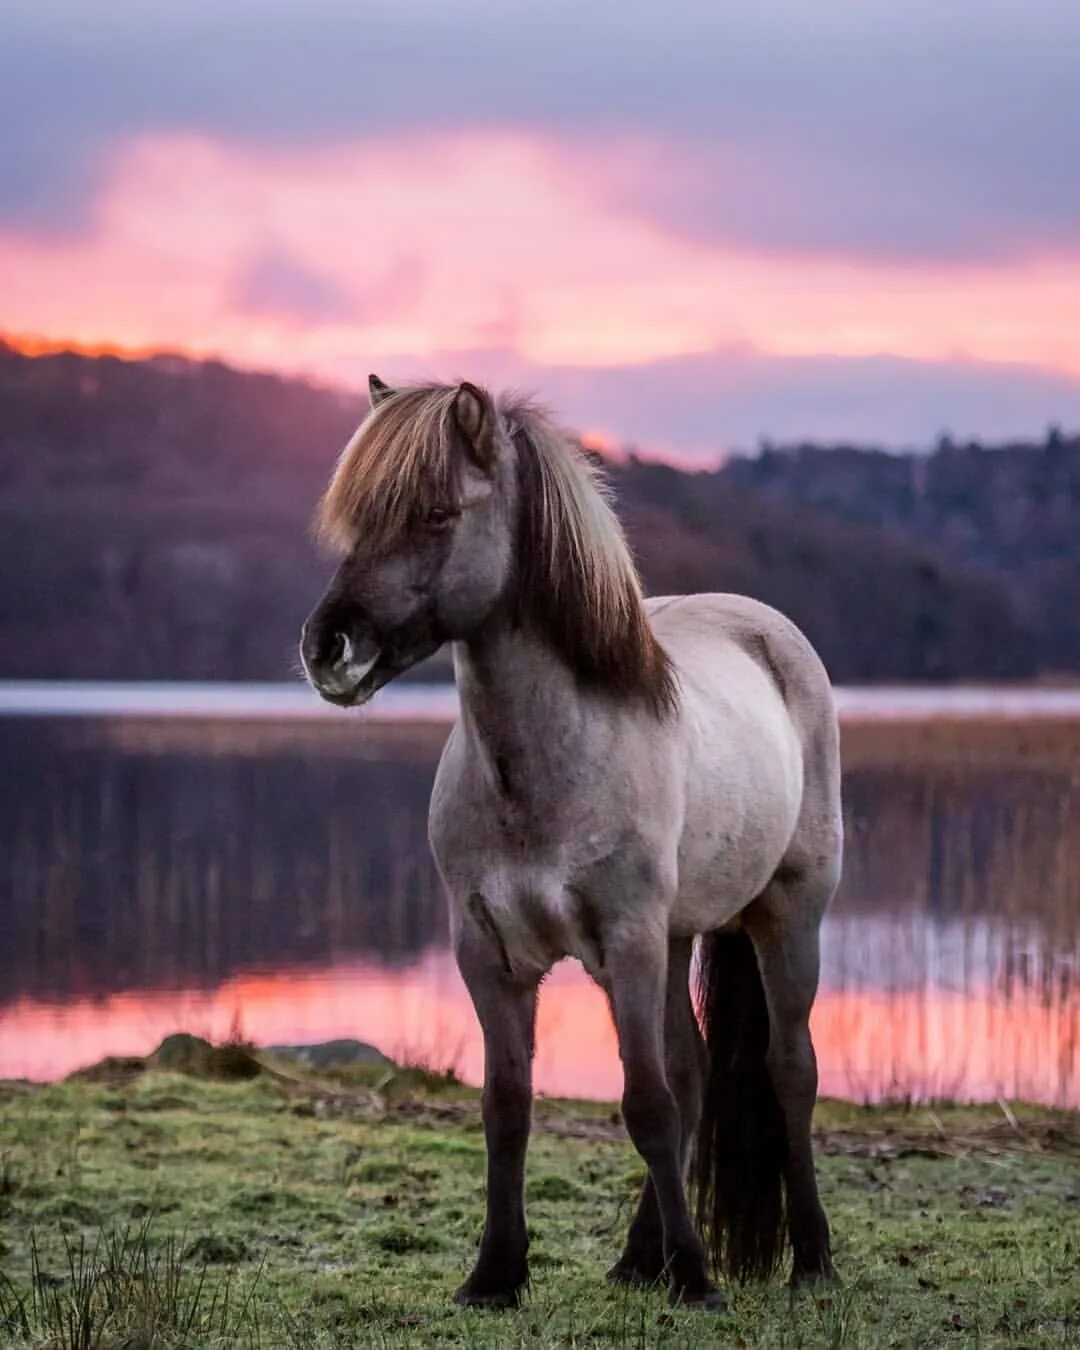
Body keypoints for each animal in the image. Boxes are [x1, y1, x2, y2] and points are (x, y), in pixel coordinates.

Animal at [299, 378, 837, 1306]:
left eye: (437, 514)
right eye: (358, 519)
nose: (329, 649)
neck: (546, 763)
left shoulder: (626, 941)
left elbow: (646, 1104)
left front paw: (697, 1278)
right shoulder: (488, 952)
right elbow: (508, 1107)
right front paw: (495, 1273)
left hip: (787, 915)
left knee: (787, 1071)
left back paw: (810, 1258)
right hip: (679, 935)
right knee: (694, 1072)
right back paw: (637, 1259)